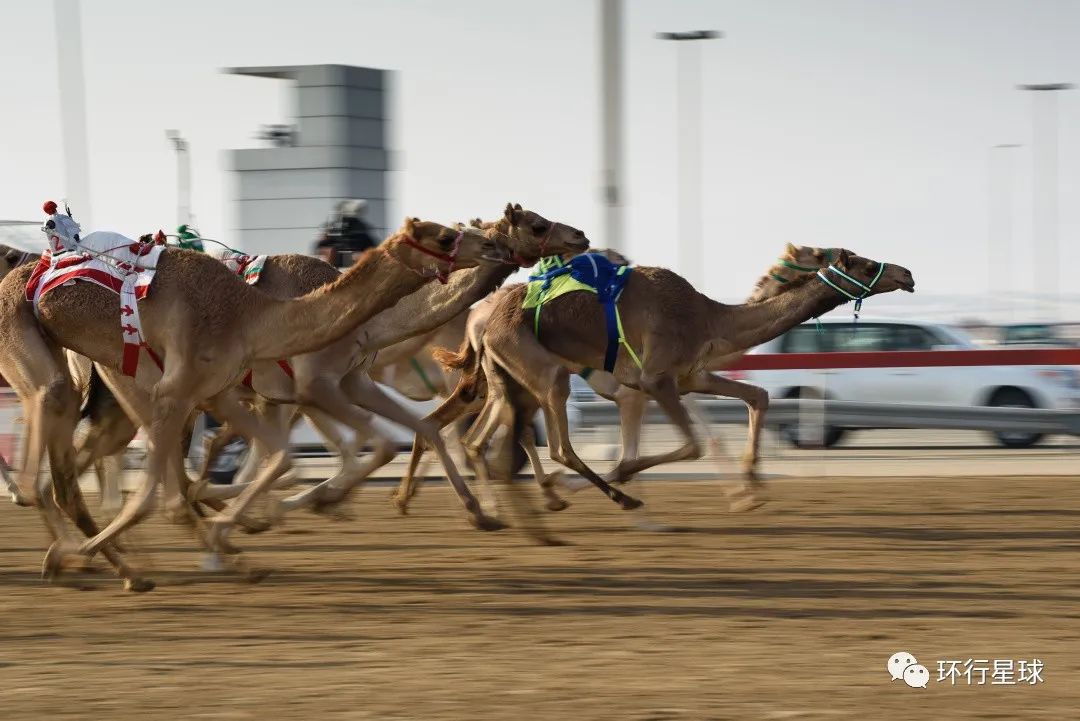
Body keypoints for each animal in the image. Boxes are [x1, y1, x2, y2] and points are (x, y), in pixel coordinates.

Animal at [0, 211, 501, 587]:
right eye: (446, 234)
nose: (493, 249)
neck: (250, 315)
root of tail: (20, 267)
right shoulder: (227, 390)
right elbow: (159, 496)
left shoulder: (225, 392)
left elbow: (282, 456)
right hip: (25, 334)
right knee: (46, 445)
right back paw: (93, 559)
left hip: (109, 369)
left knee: (68, 465)